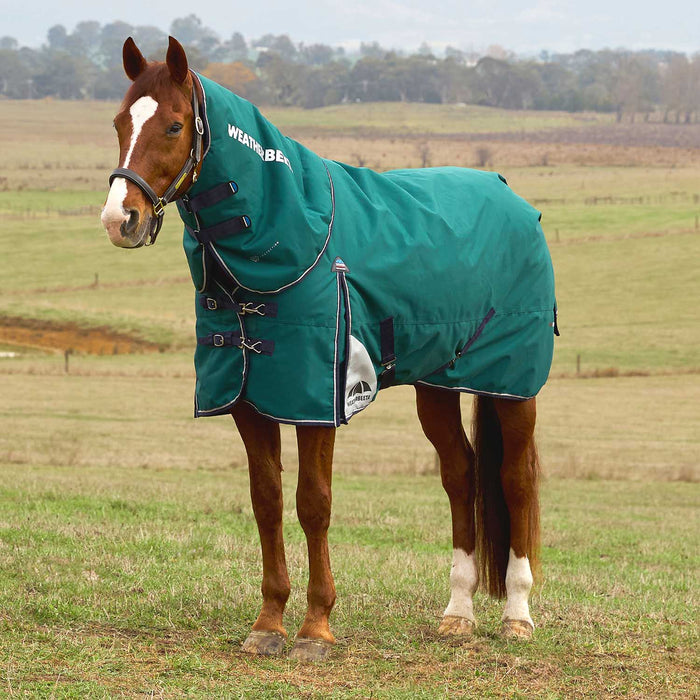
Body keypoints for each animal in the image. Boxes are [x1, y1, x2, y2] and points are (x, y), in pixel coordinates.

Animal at [101, 36, 557, 662]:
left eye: (173, 126)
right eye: (120, 122)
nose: (119, 218)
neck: (289, 233)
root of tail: (511, 197)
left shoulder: (316, 401)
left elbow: (313, 503)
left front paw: (316, 627)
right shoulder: (250, 399)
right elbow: (267, 500)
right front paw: (269, 623)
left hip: (512, 388)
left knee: (515, 481)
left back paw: (516, 615)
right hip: (438, 385)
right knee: (461, 475)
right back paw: (457, 613)